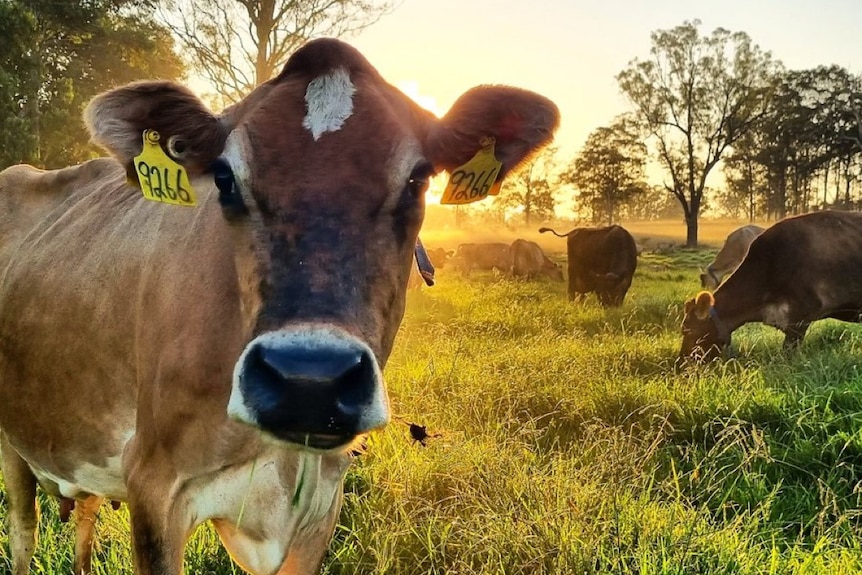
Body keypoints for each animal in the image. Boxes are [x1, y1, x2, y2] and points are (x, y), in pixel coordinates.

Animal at [0, 37, 560, 575]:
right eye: (224, 177)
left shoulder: (322, 504)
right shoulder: (154, 485)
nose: (308, 379)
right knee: (24, 535)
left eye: (417, 179)